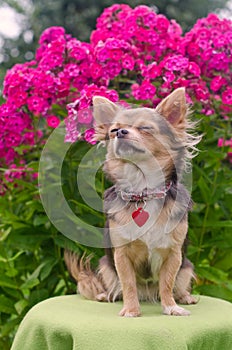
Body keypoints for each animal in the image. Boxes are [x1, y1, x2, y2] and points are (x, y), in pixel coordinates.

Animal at [64, 87, 200, 318]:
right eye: (113, 130)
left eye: (145, 128)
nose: (120, 132)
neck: (143, 192)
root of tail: (148, 293)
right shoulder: (121, 255)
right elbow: (128, 283)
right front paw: (131, 310)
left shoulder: (174, 255)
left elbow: (167, 283)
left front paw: (170, 307)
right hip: (106, 266)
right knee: (113, 286)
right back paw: (106, 295)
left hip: (187, 267)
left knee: (177, 285)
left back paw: (184, 297)